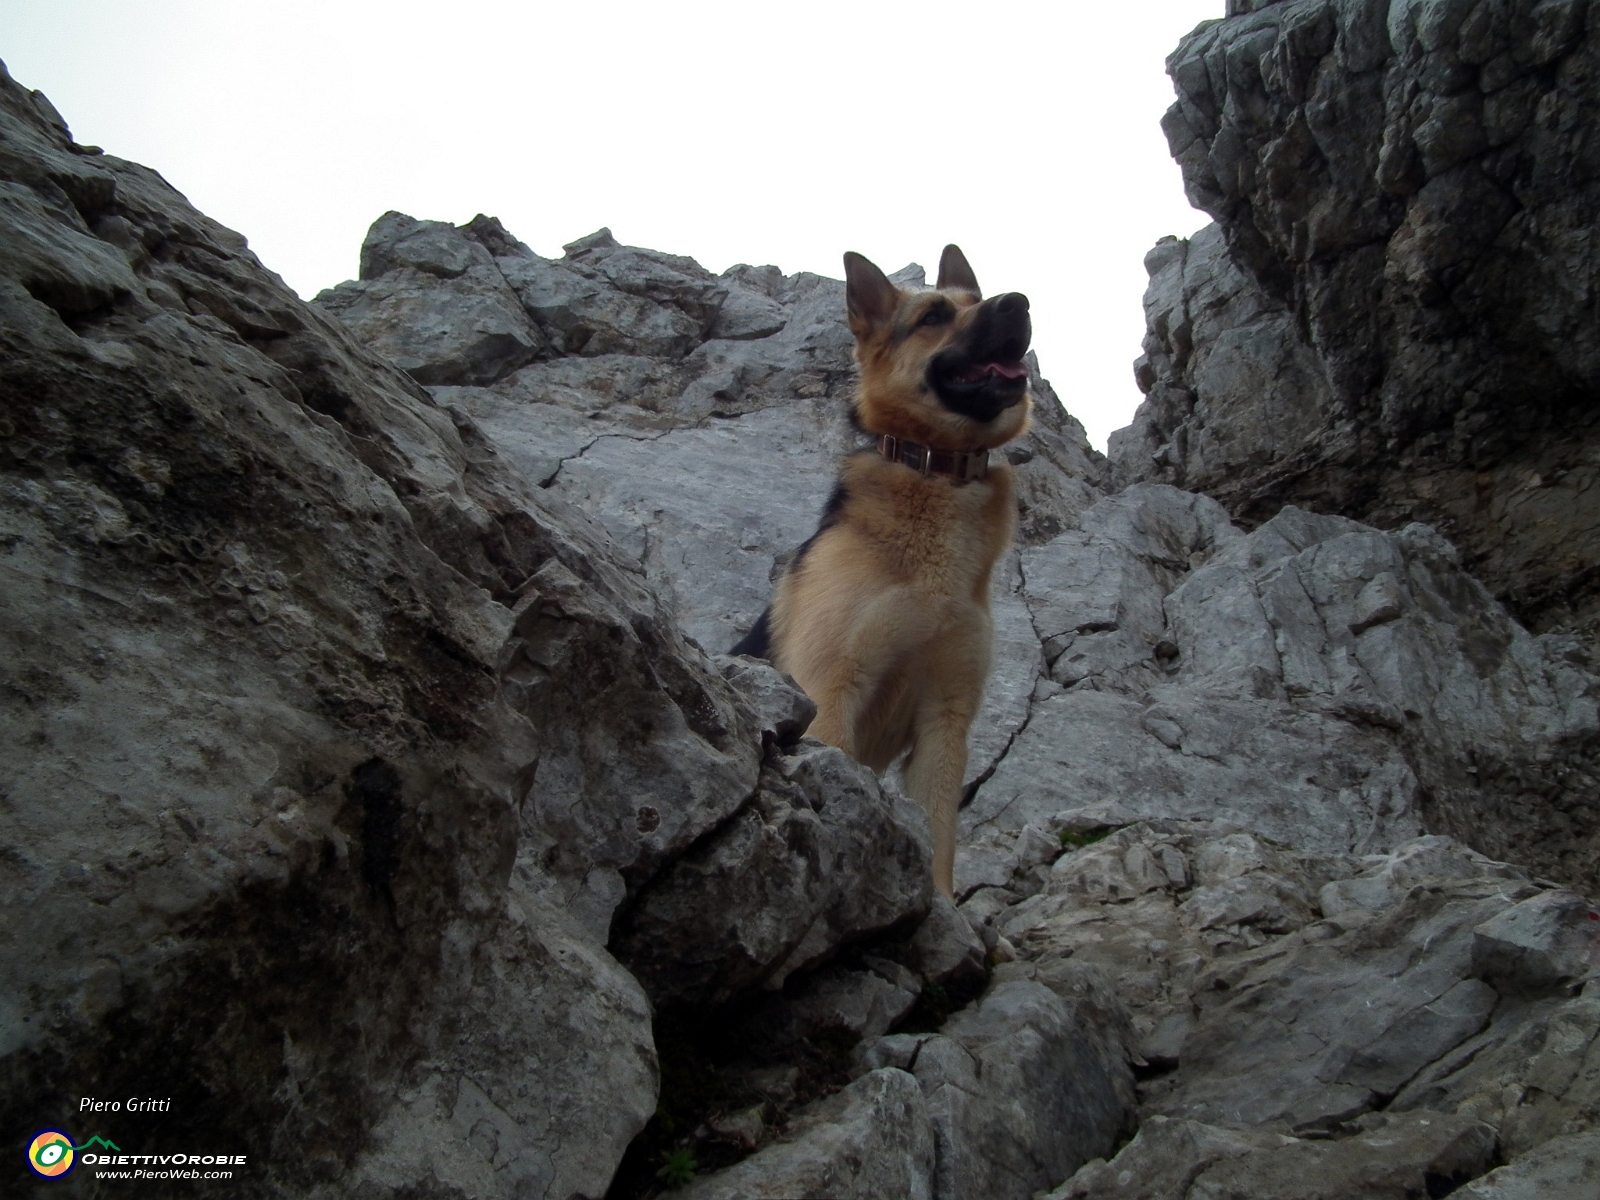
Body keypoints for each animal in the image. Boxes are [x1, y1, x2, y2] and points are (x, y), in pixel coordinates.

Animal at [732, 249, 1030, 896]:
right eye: (934, 316)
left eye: (979, 301)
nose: (1019, 302)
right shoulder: (830, 688)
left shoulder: (946, 723)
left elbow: (939, 838)